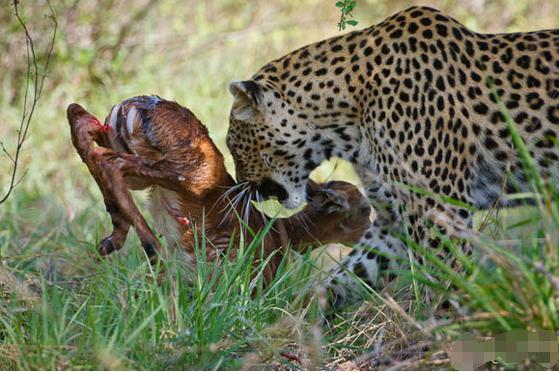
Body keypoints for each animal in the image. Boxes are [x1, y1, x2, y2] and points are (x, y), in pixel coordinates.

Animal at [66, 95, 372, 282]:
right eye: (365, 210)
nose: (370, 238)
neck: (282, 235)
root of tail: (129, 107)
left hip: (125, 146)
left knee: (80, 121)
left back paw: (114, 240)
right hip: (190, 170)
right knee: (111, 162)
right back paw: (151, 248)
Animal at [226, 6, 559, 308]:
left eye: (232, 143)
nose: (241, 185)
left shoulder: (439, 212)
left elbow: (444, 284)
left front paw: (439, 329)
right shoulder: (393, 221)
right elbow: (351, 271)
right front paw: (304, 317)